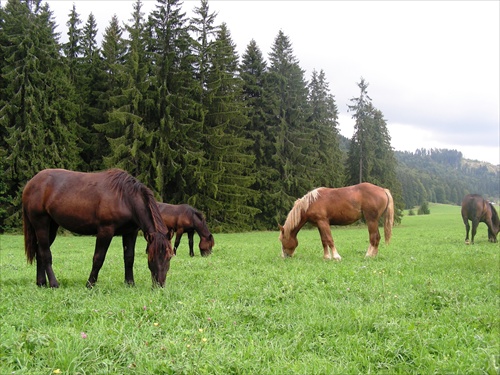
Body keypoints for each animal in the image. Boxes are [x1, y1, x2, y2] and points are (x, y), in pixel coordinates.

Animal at [22, 169, 174, 290]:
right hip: (41, 223)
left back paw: (41, 283)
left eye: (169, 256)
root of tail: (30, 184)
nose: (160, 285)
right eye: (152, 256)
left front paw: (130, 283)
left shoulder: (130, 232)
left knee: (39, 252)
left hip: (52, 226)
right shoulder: (105, 231)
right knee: (45, 253)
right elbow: (98, 258)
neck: (125, 198)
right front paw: (90, 284)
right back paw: (54, 284)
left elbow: (129, 258)